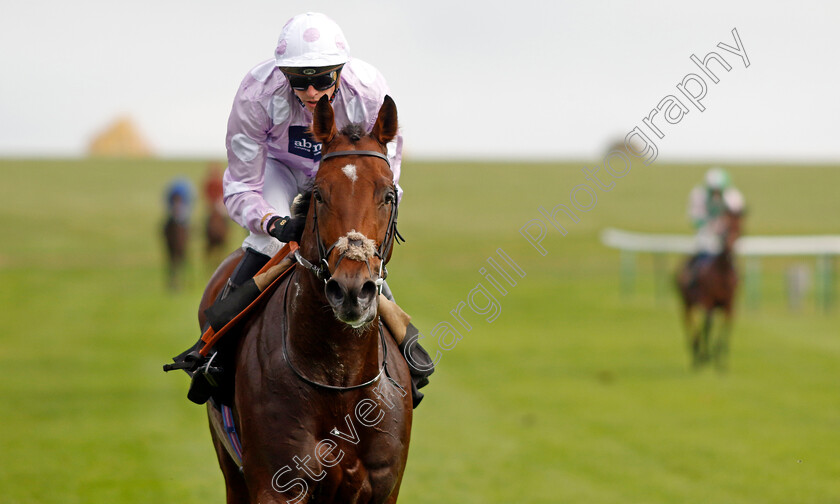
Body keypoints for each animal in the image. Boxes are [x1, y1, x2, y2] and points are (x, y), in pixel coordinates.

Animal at [202, 95, 416, 504]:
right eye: (319, 193)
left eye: (388, 194)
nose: (352, 289)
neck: (340, 382)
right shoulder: (276, 485)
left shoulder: (384, 487)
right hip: (230, 469)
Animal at [676, 209, 740, 370]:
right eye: (725, 228)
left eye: (739, 228)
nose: (729, 249)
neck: (722, 272)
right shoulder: (707, 301)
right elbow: (708, 325)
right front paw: (706, 356)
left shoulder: (729, 304)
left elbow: (726, 325)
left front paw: (721, 362)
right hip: (686, 302)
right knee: (689, 322)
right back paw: (696, 353)